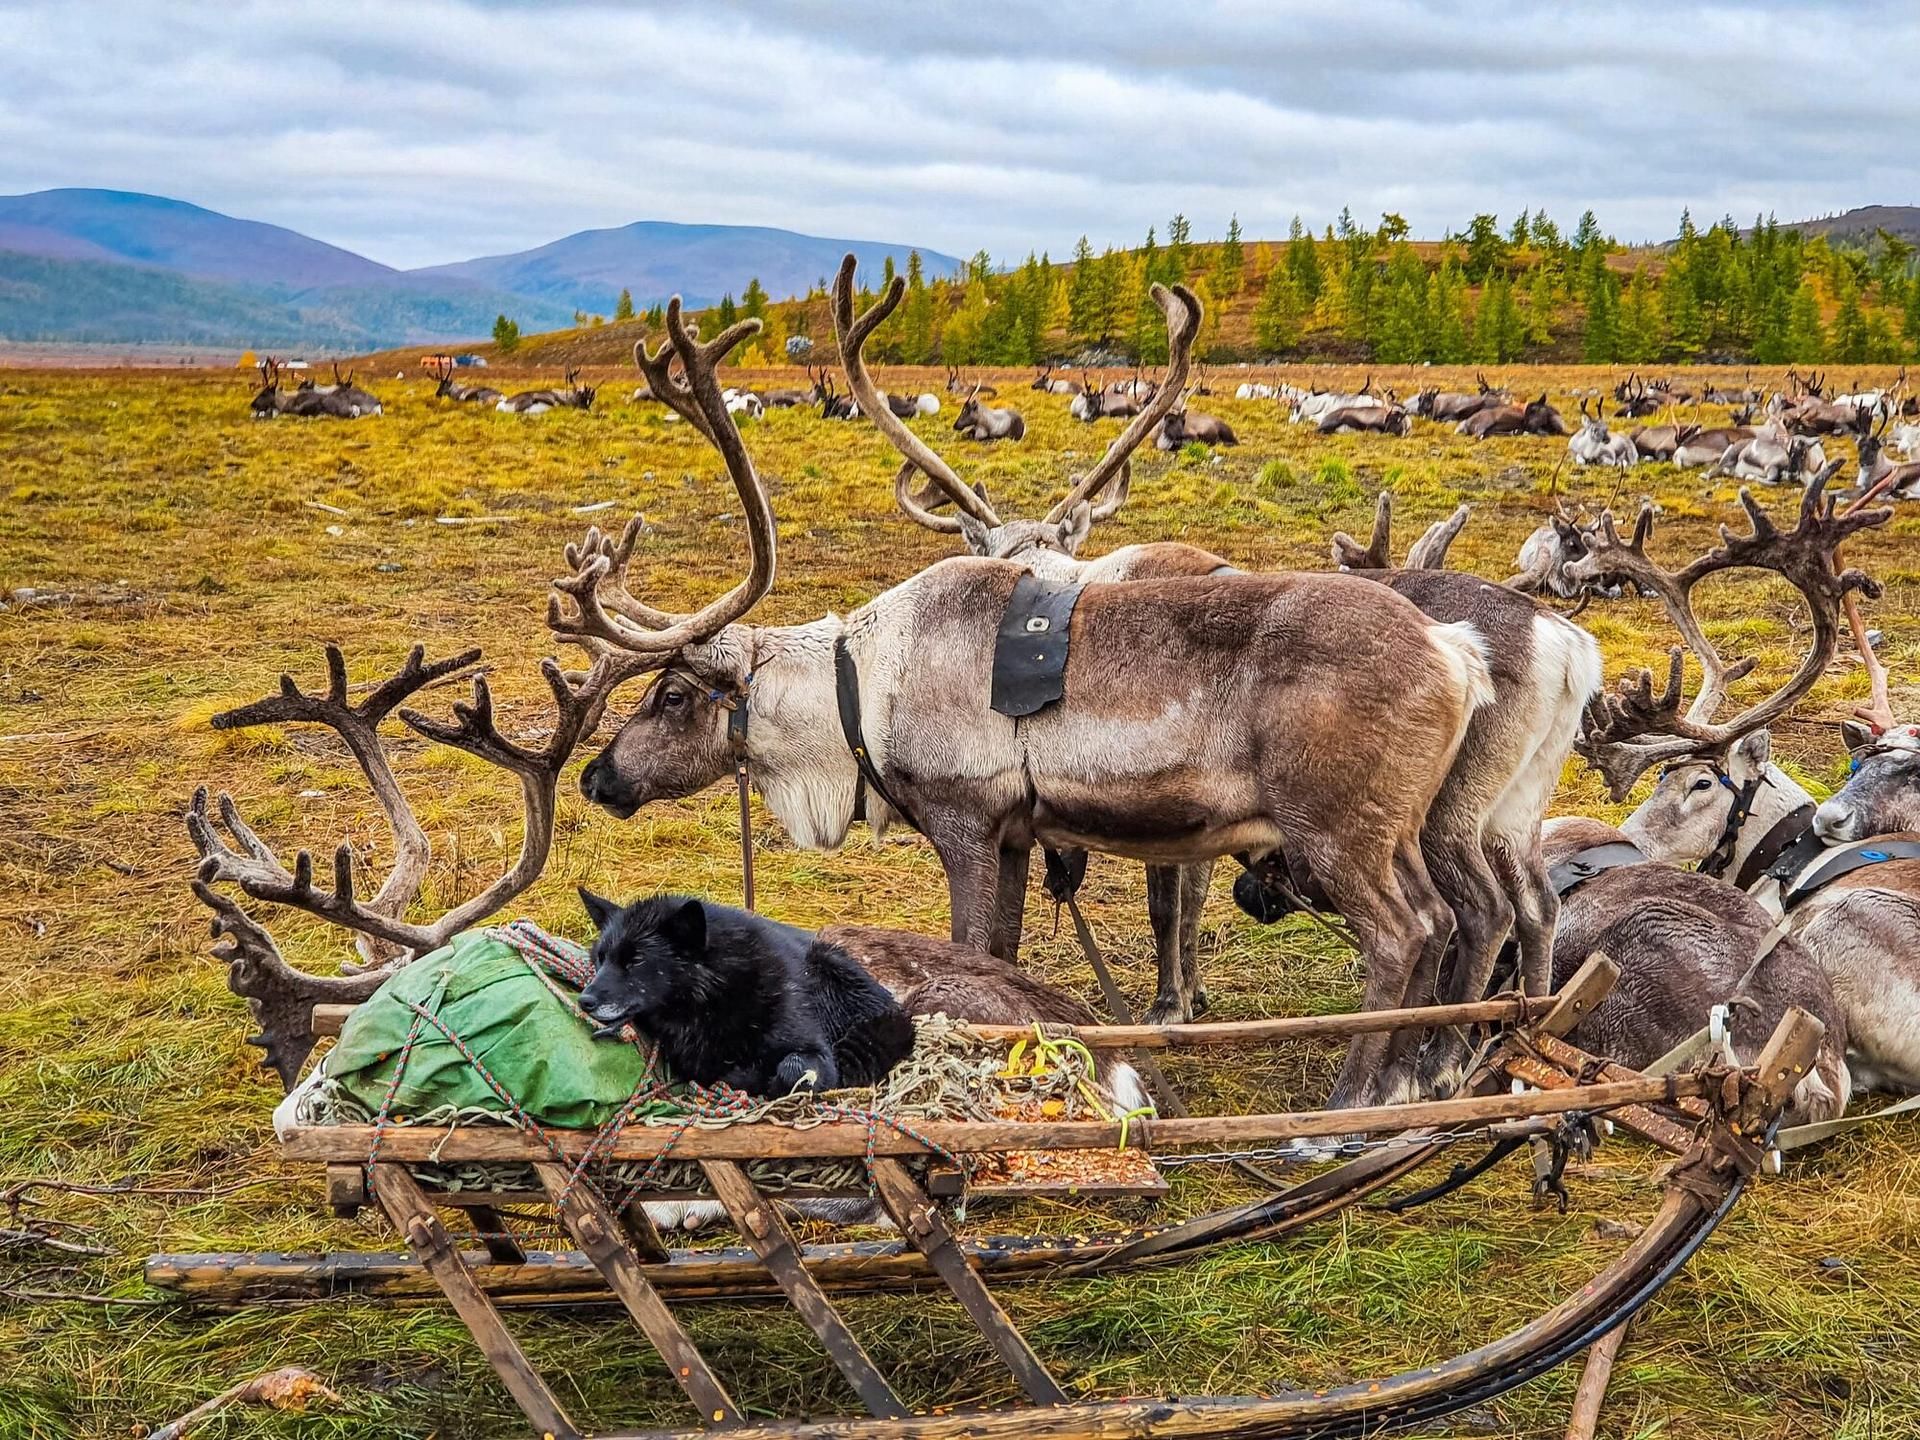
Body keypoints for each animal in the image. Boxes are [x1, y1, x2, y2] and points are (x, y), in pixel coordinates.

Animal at [576, 887, 913, 1098]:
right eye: (600, 958)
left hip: (832, 964)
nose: (584, 1001)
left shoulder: (815, 1053)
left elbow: (793, 1070)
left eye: (636, 960)